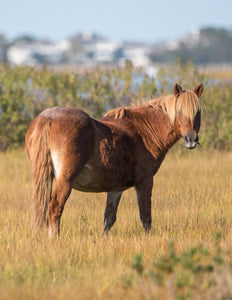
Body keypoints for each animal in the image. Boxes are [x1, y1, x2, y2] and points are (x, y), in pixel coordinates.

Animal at [24, 82, 203, 237]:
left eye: (198, 113)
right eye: (179, 111)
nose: (191, 139)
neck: (144, 130)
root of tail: (48, 118)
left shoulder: (116, 188)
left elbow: (109, 218)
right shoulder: (144, 181)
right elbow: (145, 216)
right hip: (65, 180)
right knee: (55, 208)